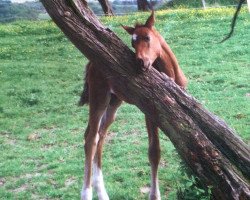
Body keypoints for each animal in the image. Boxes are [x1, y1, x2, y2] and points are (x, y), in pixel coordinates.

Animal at [80, 11, 188, 200]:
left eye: (147, 37)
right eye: (132, 42)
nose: (140, 62)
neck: (170, 73)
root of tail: (92, 62)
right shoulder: (150, 111)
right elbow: (154, 151)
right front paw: (154, 195)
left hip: (114, 103)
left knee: (100, 135)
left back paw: (102, 193)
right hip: (99, 97)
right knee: (91, 138)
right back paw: (87, 193)